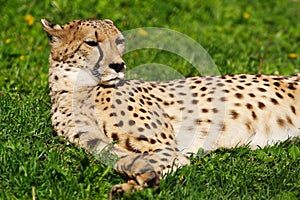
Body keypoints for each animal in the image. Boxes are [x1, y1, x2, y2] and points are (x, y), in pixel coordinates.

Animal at [41, 19, 300, 198]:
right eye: (91, 43)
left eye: (119, 42)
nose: (119, 66)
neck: (78, 89)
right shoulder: (96, 144)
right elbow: (121, 159)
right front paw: (136, 184)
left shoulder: (166, 146)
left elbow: (154, 158)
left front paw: (140, 179)